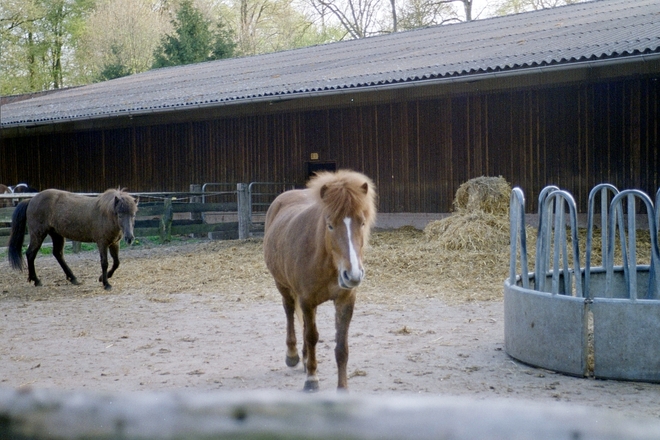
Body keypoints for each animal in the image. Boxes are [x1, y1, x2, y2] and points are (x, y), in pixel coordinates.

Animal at [7, 188, 138, 288]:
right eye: (120, 215)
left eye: (133, 215)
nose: (130, 238)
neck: (105, 214)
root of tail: (31, 199)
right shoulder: (102, 243)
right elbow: (104, 263)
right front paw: (106, 284)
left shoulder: (114, 243)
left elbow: (116, 262)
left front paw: (102, 278)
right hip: (38, 234)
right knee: (30, 254)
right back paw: (36, 280)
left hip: (56, 234)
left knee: (58, 254)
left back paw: (73, 278)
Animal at [262, 169, 376, 392]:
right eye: (330, 225)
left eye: (362, 222)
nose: (353, 274)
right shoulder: (307, 300)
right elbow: (312, 336)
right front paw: (311, 379)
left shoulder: (345, 301)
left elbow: (341, 346)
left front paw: (342, 388)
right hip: (283, 285)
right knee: (290, 311)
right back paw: (293, 356)